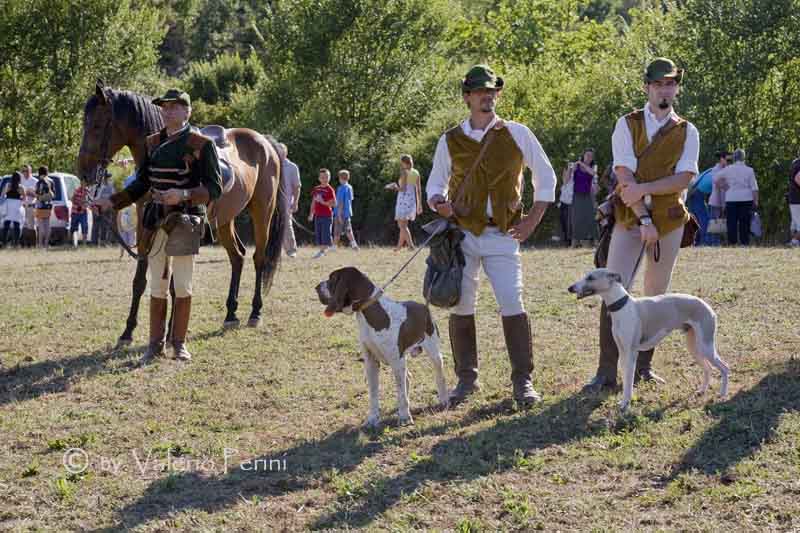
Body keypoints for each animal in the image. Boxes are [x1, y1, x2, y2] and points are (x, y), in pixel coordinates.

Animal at [78, 80, 284, 342]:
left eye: (96, 125)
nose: (83, 172)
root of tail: (265, 143)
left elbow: (176, 284)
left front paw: (169, 331)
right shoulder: (145, 227)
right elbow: (140, 281)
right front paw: (128, 331)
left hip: (262, 211)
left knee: (259, 258)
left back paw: (255, 312)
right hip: (225, 220)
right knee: (237, 256)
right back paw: (230, 313)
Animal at [314, 268, 450, 426]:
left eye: (332, 279)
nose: (316, 287)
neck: (368, 313)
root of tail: (425, 306)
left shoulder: (397, 362)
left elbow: (401, 392)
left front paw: (405, 417)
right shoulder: (371, 362)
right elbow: (374, 393)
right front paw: (373, 418)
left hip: (434, 354)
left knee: (439, 377)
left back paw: (444, 400)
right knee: (407, 379)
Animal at [564, 266, 728, 412]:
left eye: (591, 277)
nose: (570, 288)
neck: (623, 307)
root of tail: (708, 307)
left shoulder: (631, 353)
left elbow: (629, 382)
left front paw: (625, 405)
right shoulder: (622, 352)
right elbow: (626, 378)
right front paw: (624, 402)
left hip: (706, 346)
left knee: (724, 367)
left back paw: (722, 394)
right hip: (694, 346)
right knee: (708, 368)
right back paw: (702, 391)